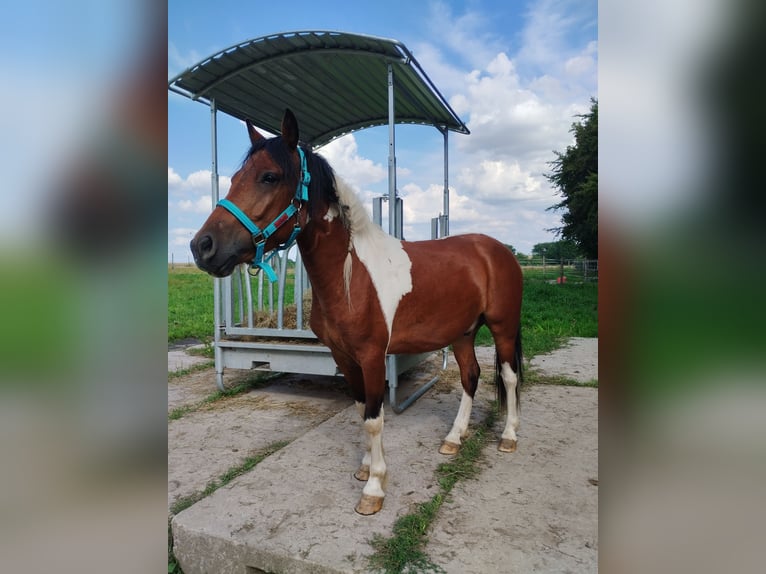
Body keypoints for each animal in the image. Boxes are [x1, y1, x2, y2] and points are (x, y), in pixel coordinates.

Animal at [190, 109, 523, 515]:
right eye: (234, 178)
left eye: (269, 176)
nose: (202, 246)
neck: (351, 275)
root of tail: (498, 250)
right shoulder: (344, 356)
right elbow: (361, 410)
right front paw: (365, 467)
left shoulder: (372, 356)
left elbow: (375, 419)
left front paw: (374, 488)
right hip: (463, 332)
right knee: (470, 377)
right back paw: (454, 439)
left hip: (503, 327)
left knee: (508, 377)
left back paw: (508, 437)